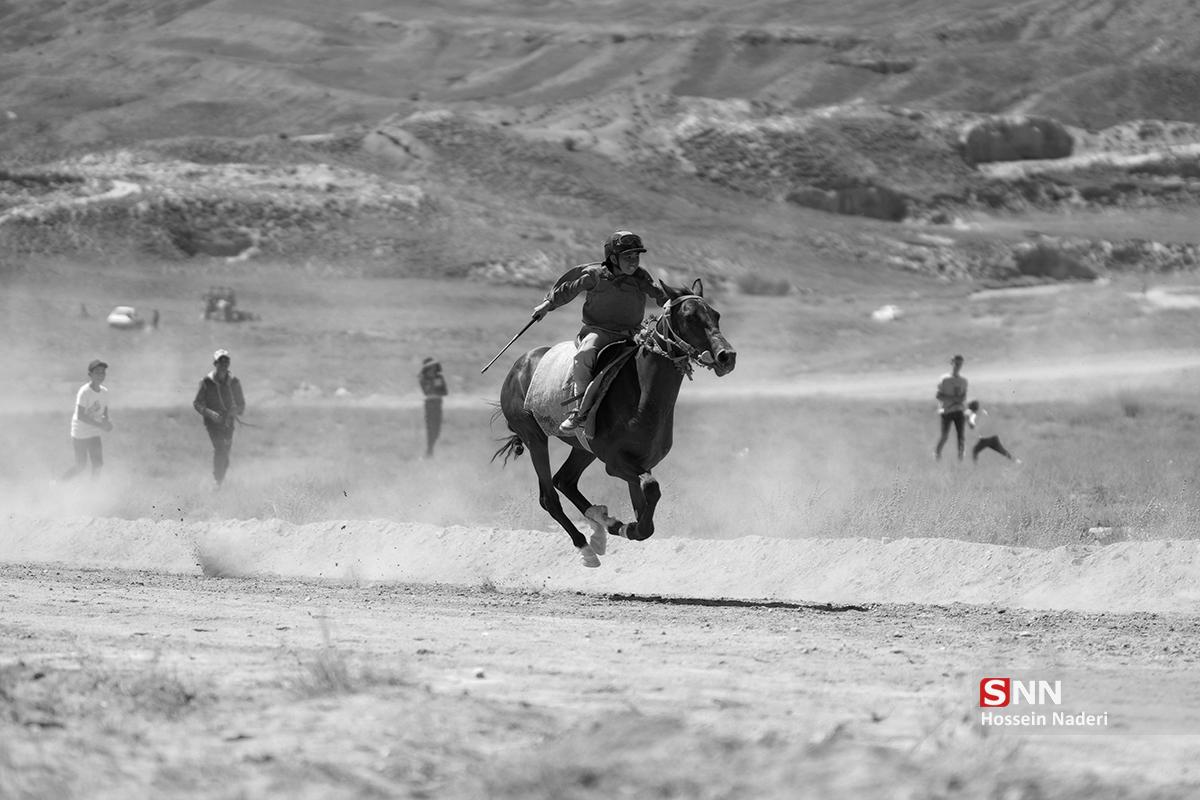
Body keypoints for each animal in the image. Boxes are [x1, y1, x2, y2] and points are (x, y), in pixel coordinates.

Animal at [492, 278, 734, 566]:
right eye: (689, 317)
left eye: (716, 315)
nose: (726, 356)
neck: (642, 393)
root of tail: (518, 366)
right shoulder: (615, 463)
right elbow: (651, 490)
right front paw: (625, 526)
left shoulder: (641, 463)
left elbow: (646, 512)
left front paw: (620, 524)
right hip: (535, 438)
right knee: (549, 496)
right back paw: (585, 545)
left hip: (583, 449)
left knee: (565, 480)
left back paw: (599, 523)